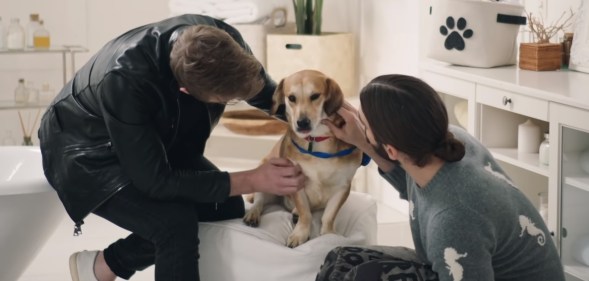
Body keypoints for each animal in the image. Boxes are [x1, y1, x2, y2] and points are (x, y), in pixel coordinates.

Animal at [242, 70, 362, 247]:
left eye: (315, 96)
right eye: (291, 98)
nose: (302, 123)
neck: (317, 139)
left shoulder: (343, 186)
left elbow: (329, 215)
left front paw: (328, 235)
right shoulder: (295, 181)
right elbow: (306, 213)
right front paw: (300, 234)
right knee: (259, 201)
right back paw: (253, 215)